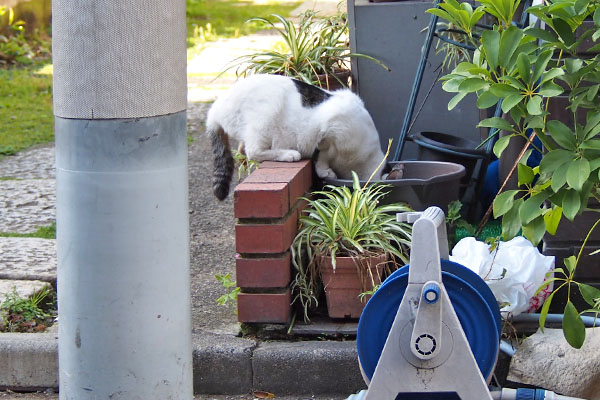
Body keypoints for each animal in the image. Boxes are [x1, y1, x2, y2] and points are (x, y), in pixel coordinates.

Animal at [206, 74, 384, 200]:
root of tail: (214, 110)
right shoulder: (331, 128)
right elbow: (323, 153)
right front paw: (324, 171)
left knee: (243, 150)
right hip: (266, 114)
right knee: (253, 151)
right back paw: (289, 154)